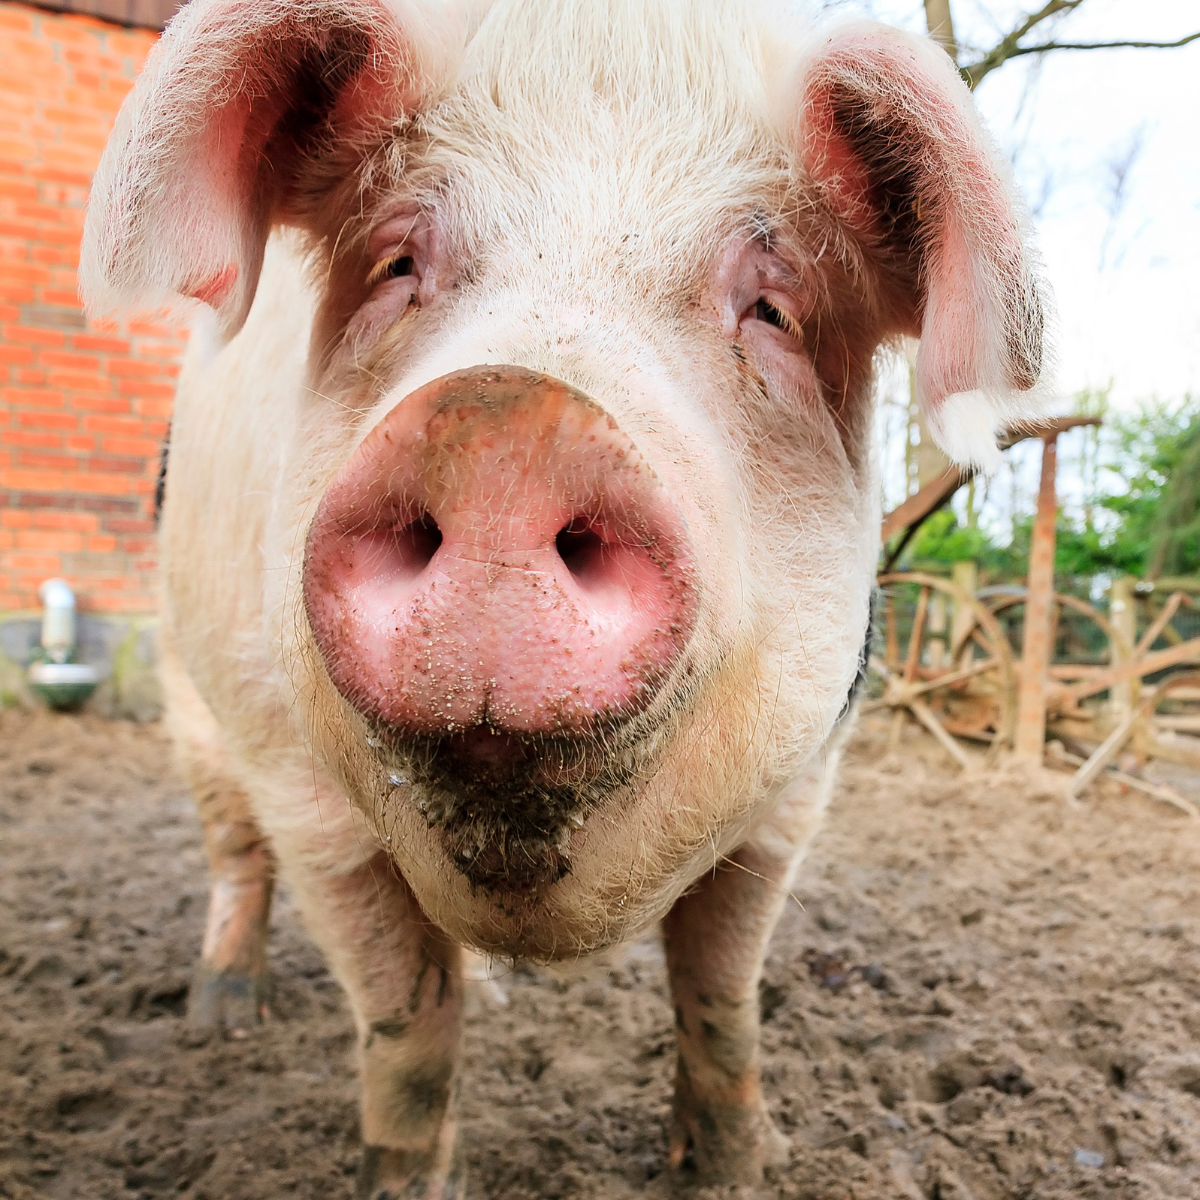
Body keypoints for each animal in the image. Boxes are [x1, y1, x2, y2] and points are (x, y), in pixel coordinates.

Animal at [82, 4, 1041, 1195]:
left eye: (774, 307)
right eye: (397, 262)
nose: (508, 427)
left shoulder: (805, 780)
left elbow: (721, 990)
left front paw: (735, 1166)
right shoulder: (296, 783)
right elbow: (405, 1026)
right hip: (185, 672)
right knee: (229, 845)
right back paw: (221, 1017)